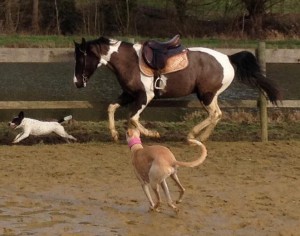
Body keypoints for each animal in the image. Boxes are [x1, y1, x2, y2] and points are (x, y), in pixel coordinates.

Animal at [72, 36, 282, 141]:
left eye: (81, 59)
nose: (77, 82)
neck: (129, 61)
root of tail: (228, 58)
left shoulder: (144, 96)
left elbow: (132, 118)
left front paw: (152, 133)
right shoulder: (128, 94)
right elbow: (112, 108)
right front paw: (115, 135)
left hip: (206, 95)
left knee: (214, 114)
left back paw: (193, 135)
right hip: (210, 96)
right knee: (217, 114)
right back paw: (201, 136)